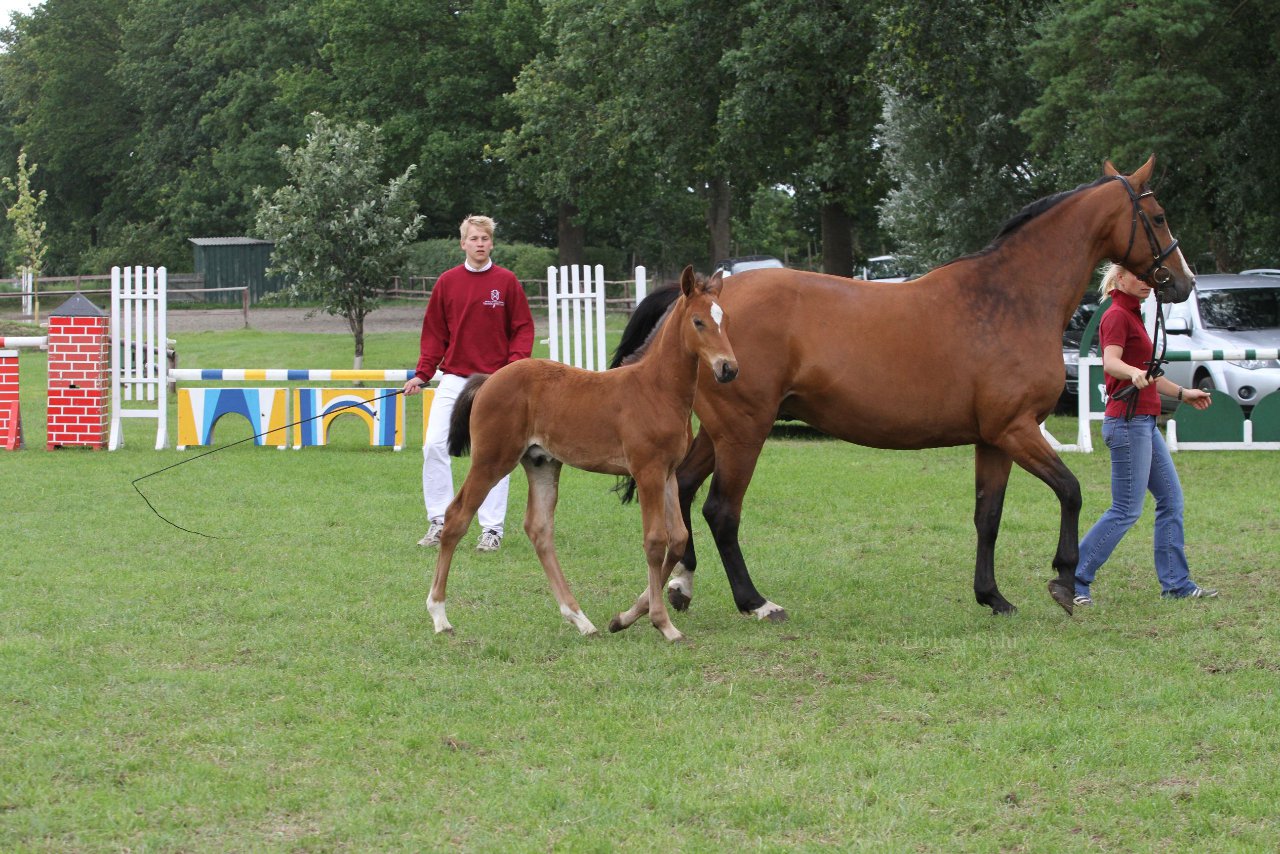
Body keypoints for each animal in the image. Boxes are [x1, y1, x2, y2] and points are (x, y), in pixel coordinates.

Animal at [609, 160, 1198, 624]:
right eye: (1158, 216)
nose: (1183, 281)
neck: (1009, 299)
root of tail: (697, 304)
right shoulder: (1016, 429)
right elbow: (1071, 491)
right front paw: (1062, 580)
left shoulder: (993, 439)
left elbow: (988, 517)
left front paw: (993, 597)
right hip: (743, 432)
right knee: (721, 511)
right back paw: (755, 602)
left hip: (720, 432)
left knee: (684, 491)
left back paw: (681, 586)